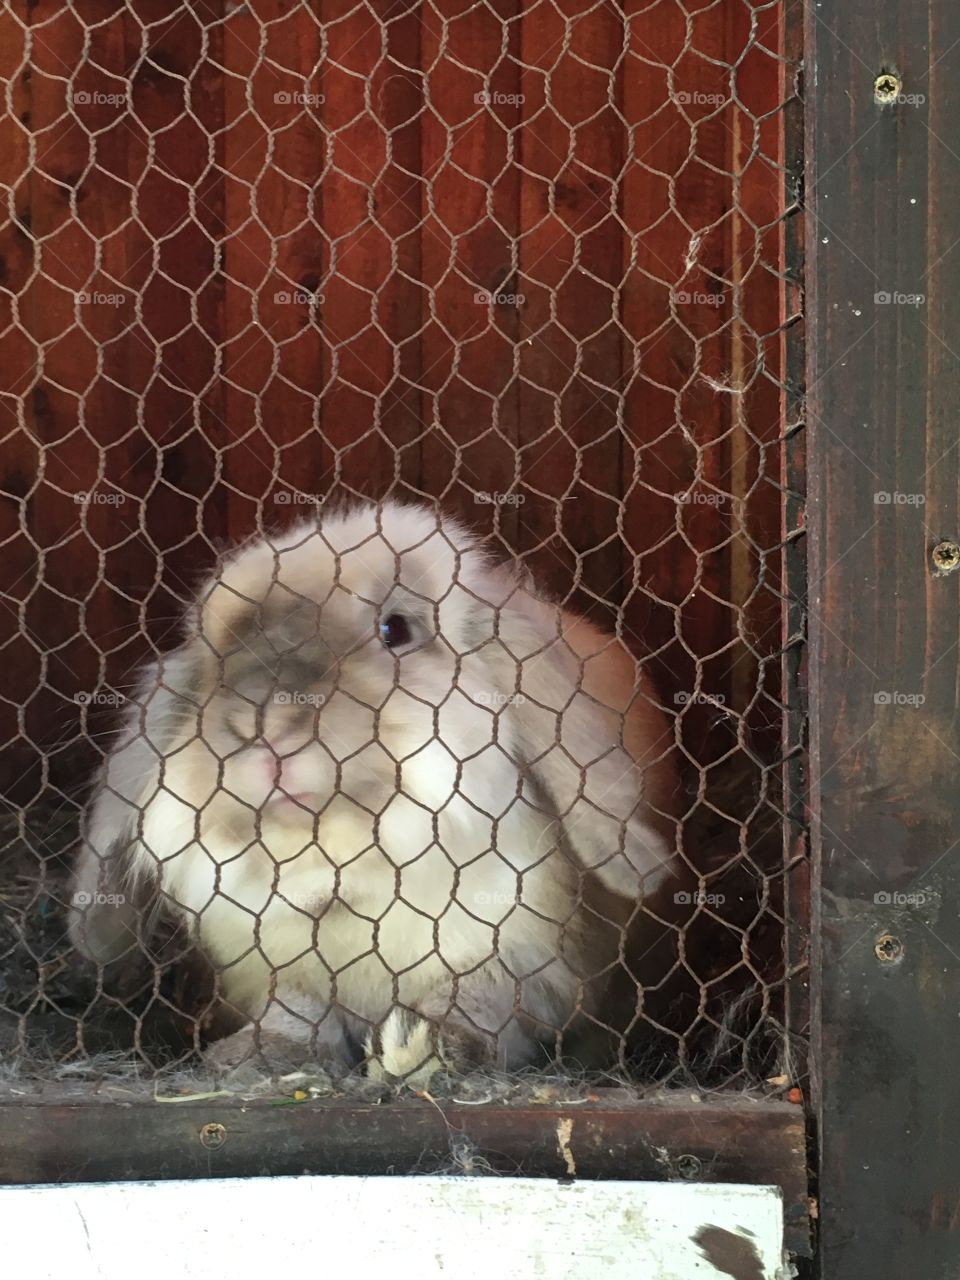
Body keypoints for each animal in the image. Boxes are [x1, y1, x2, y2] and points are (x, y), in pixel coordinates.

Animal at [68, 500, 680, 1084]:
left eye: (396, 630)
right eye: (214, 656)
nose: (262, 723)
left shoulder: (516, 960)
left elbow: (472, 1005)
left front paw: (428, 1048)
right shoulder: (275, 969)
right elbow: (295, 1012)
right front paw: (256, 1056)